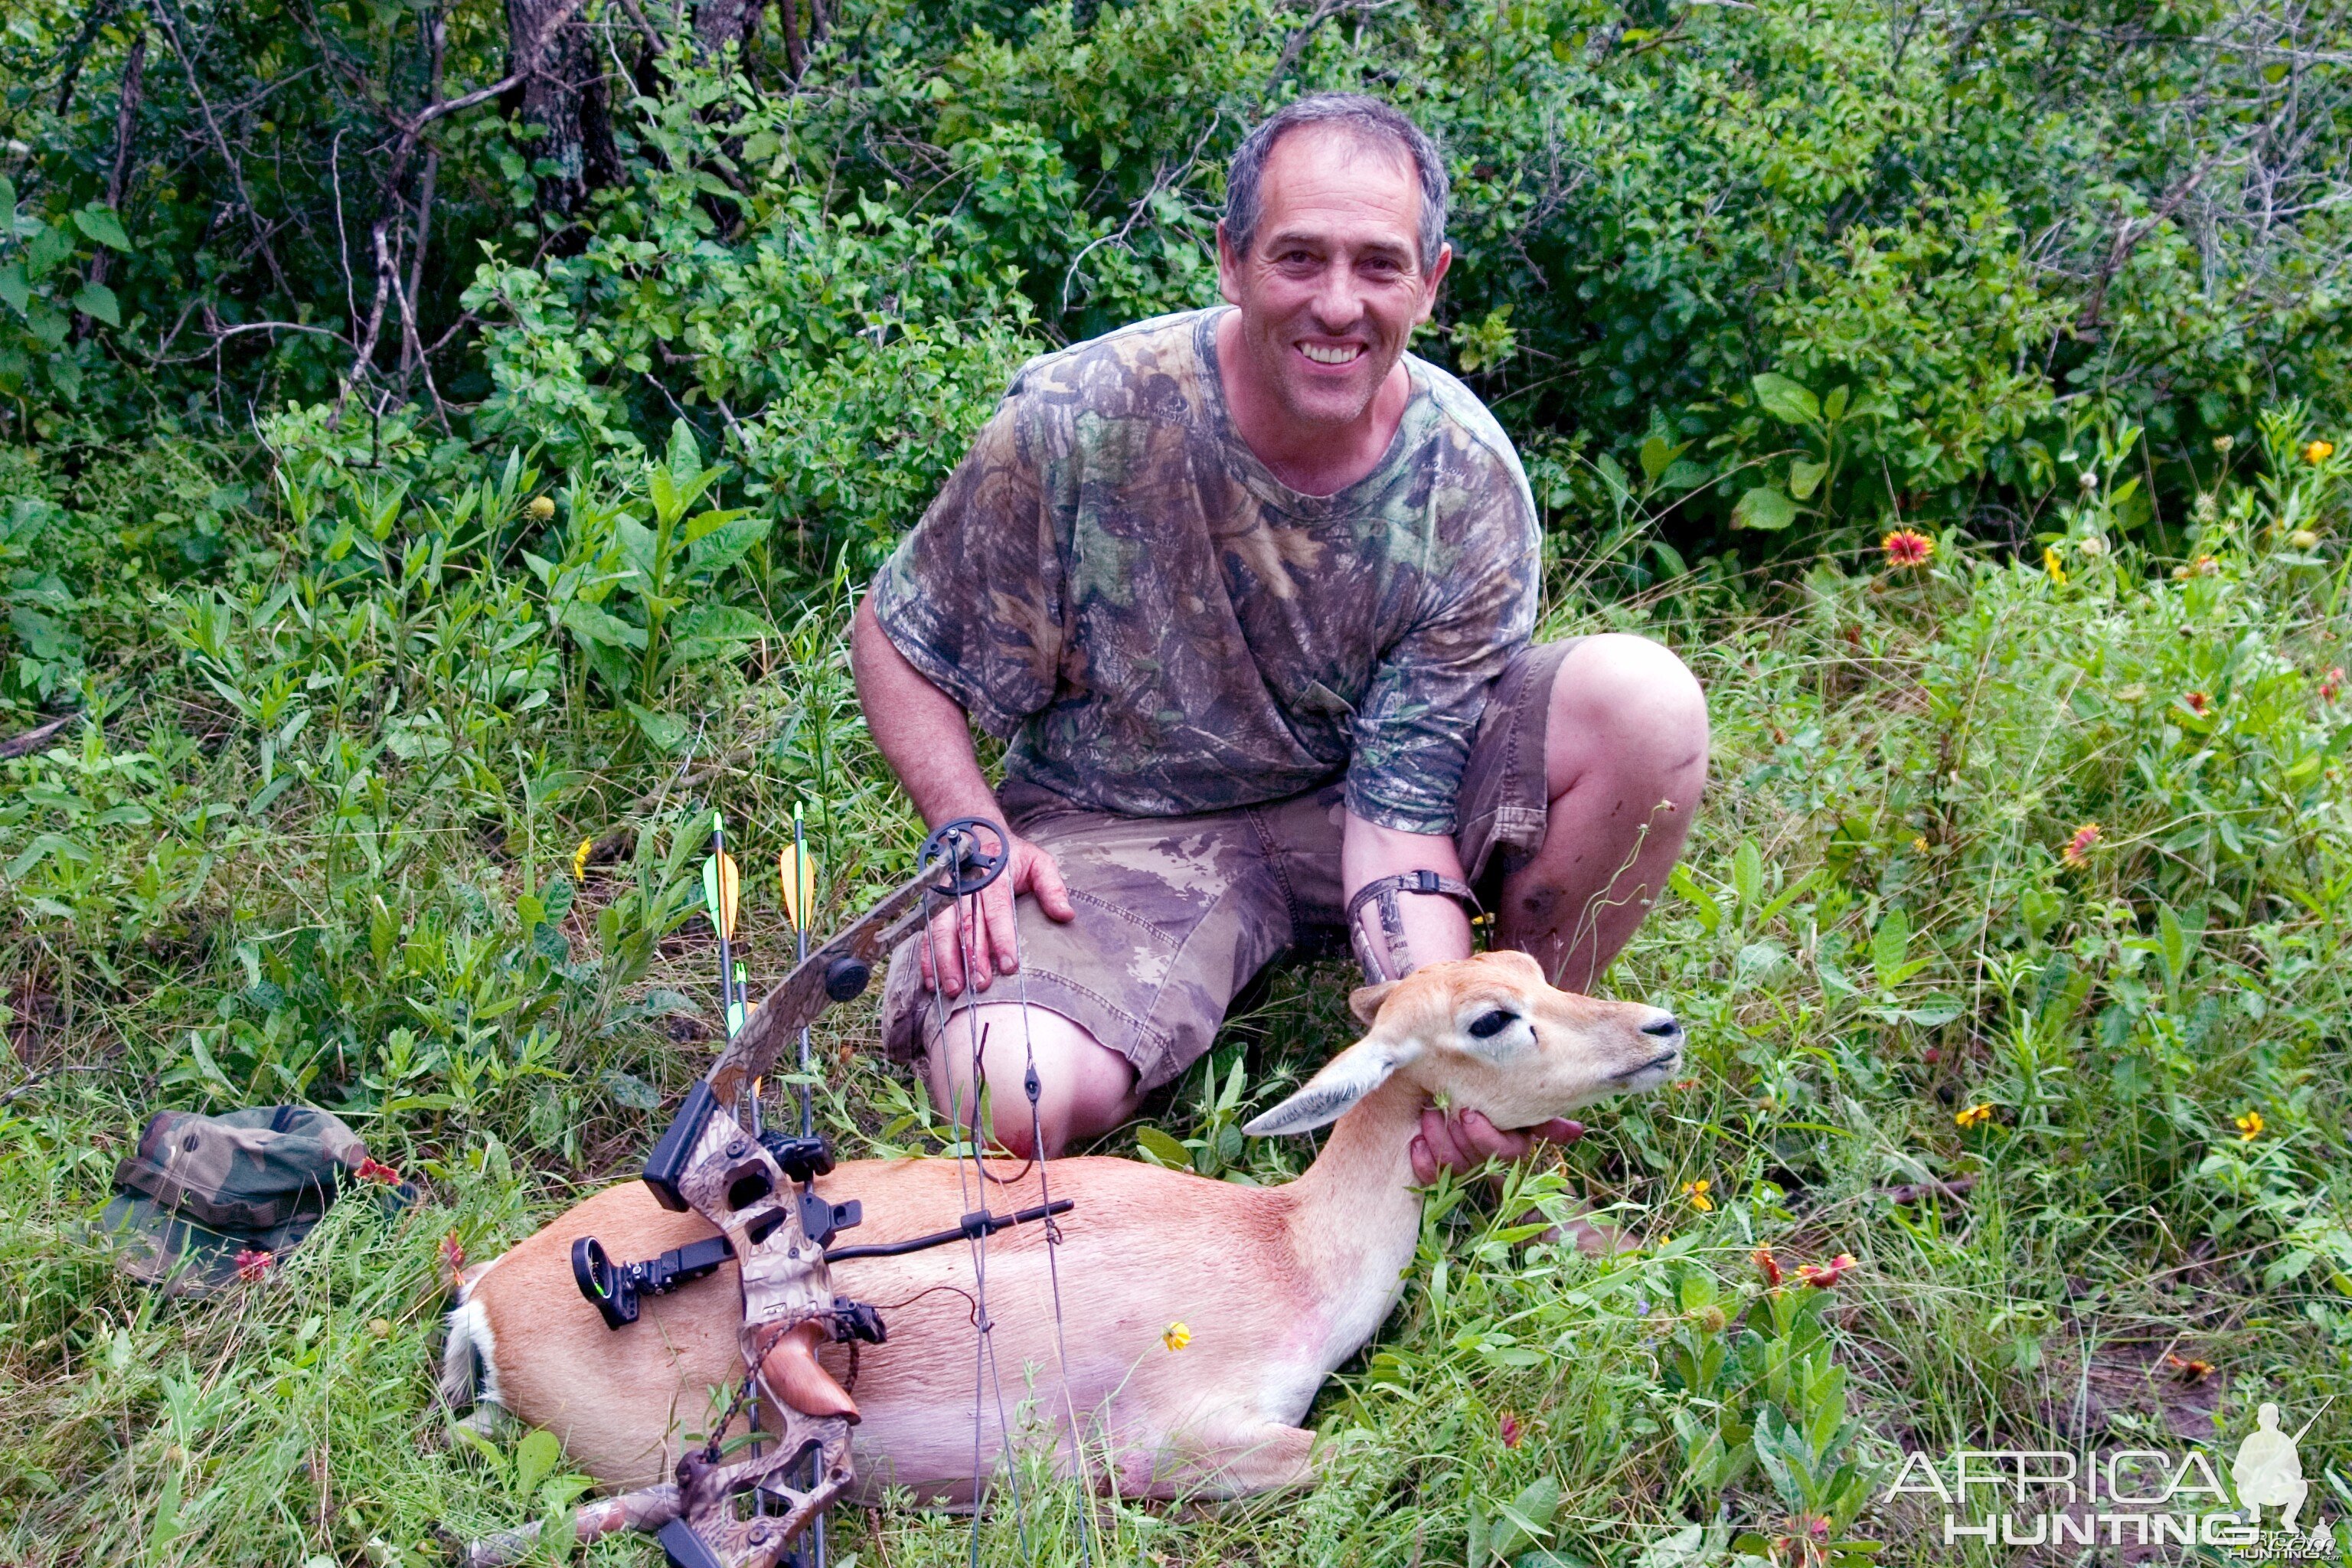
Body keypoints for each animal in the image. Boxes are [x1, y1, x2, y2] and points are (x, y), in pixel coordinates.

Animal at [442, 945, 1684, 1504]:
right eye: (1493, 1016)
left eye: (1531, 965)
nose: (1660, 1027)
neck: (1287, 1248)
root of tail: (485, 1299)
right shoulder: (1182, 1442)